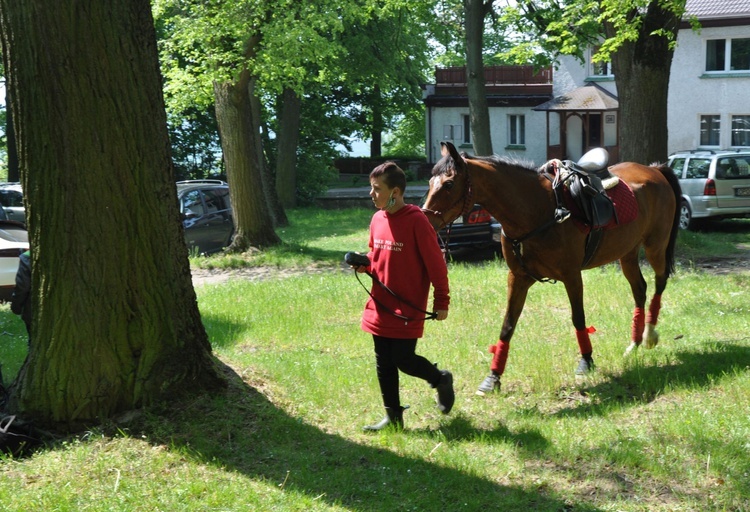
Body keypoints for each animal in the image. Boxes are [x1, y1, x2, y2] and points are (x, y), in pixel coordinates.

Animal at [424, 142, 680, 394]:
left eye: (448, 184)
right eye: (429, 182)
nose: (427, 220)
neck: (536, 209)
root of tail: (655, 170)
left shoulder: (572, 276)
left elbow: (578, 318)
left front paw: (586, 361)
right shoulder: (518, 278)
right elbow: (507, 326)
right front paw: (493, 376)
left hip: (655, 246)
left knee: (660, 281)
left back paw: (649, 334)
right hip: (627, 253)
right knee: (640, 289)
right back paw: (634, 342)